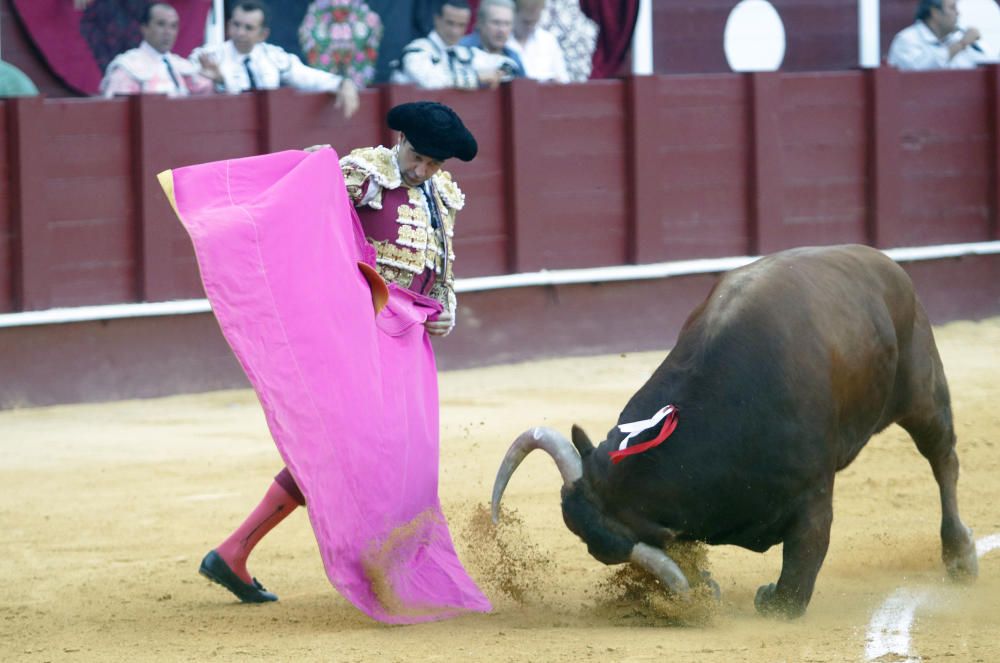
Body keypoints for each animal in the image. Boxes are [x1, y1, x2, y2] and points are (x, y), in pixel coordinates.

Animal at [492, 244, 976, 616]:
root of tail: (884, 263)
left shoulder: (814, 497)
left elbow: (797, 581)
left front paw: (770, 599)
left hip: (924, 394)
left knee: (943, 459)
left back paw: (961, 558)